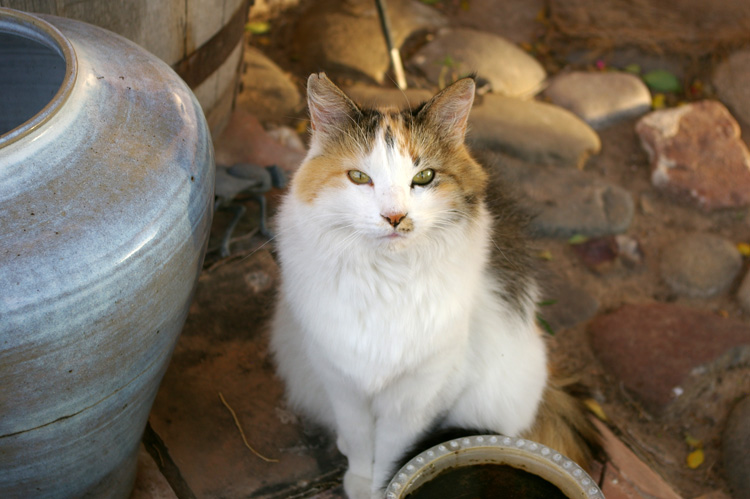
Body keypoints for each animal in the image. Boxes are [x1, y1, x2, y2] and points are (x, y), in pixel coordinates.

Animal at [270, 72, 600, 498]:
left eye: (424, 177)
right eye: (359, 177)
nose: (394, 217)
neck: (387, 281)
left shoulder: (421, 394)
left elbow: (392, 453)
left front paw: (380, 487)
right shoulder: (341, 379)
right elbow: (359, 440)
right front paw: (359, 479)